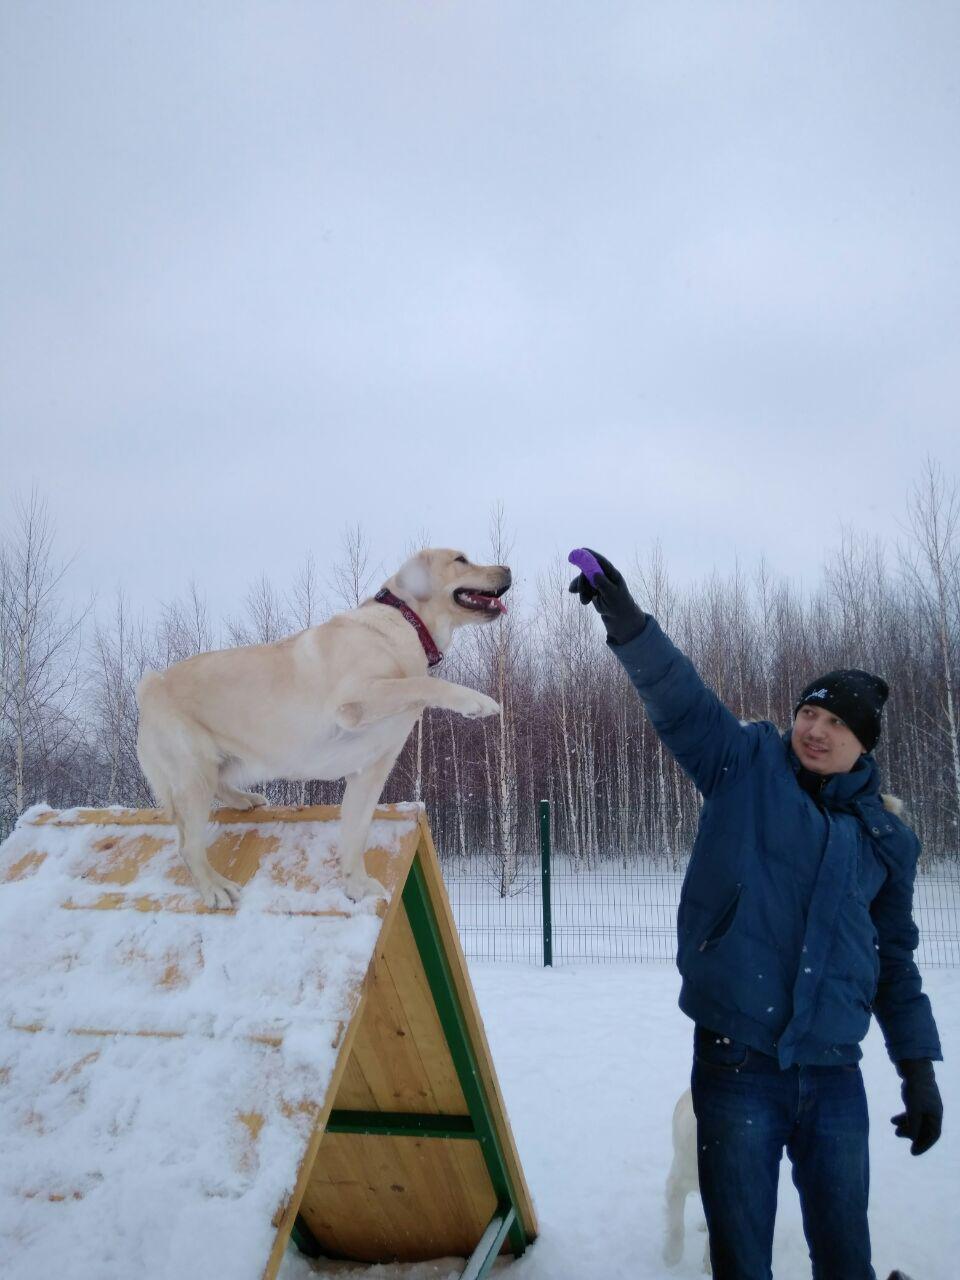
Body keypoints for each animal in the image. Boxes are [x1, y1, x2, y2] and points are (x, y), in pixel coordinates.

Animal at [136, 545, 512, 906]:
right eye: (461, 559)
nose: (508, 568)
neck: (407, 622)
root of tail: (149, 687)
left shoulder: (372, 769)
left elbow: (356, 832)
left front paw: (357, 886)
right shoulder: (354, 700)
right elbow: (422, 683)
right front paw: (477, 702)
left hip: (231, 764)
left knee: (219, 792)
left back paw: (245, 801)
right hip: (194, 772)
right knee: (188, 845)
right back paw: (216, 888)